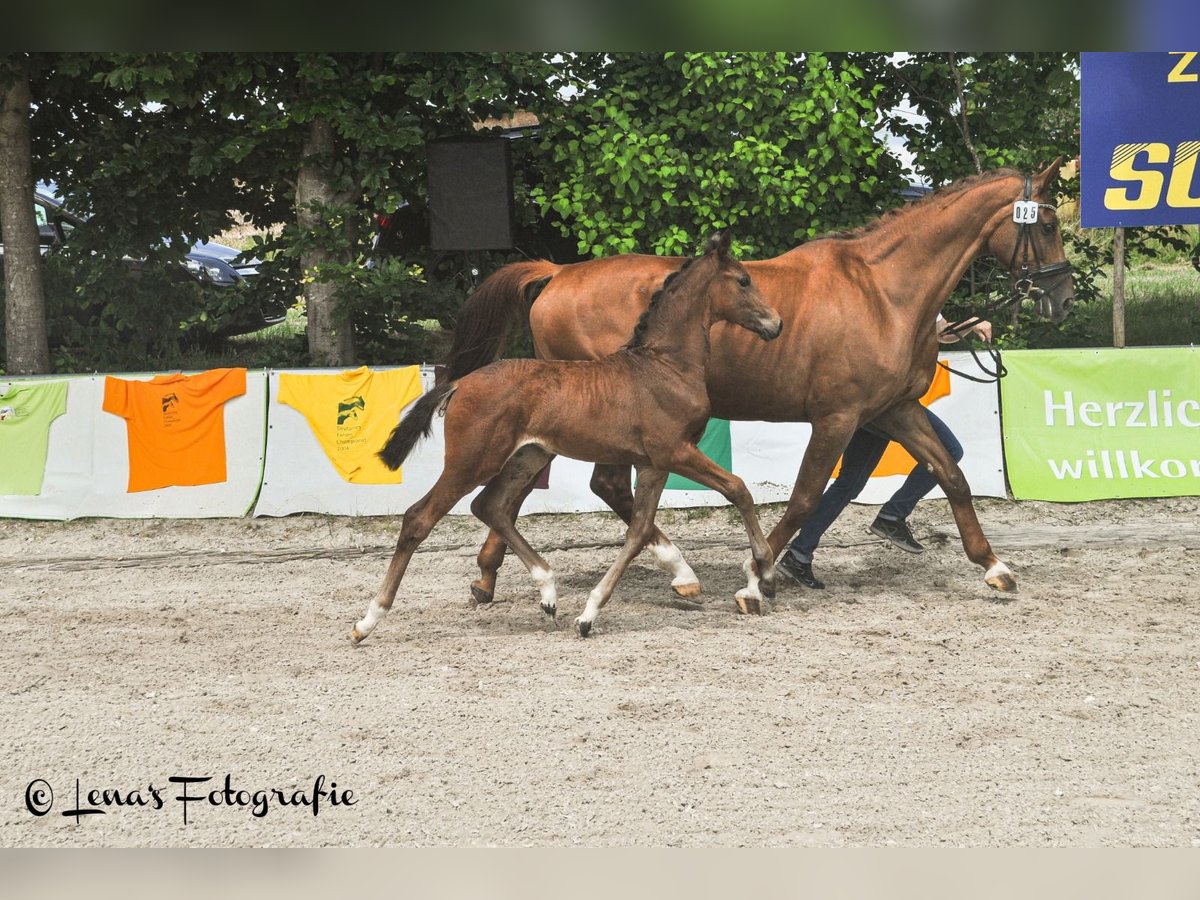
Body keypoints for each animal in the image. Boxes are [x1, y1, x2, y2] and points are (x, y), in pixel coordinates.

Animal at [350, 229, 782, 643]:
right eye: (744, 280)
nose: (776, 324)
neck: (664, 365)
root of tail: (458, 383)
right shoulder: (676, 451)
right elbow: (739, 489)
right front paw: (764, 573)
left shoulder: (653, 463)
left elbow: (639, 531)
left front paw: (589, 615)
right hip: (471, 461)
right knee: (419, 518)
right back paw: (367, 621)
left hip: (529, 456)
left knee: (491, 506)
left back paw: (548, 591)